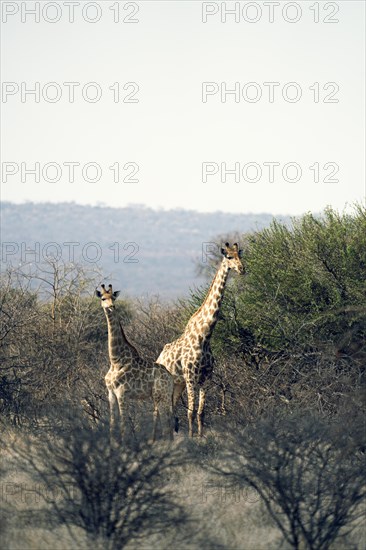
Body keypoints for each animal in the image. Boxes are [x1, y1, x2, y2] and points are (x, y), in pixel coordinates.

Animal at [96, 284, 173, 444]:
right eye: (103, 298)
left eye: (113, 297)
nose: (111, 306)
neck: (115, 360)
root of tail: (170, 377)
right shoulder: (110, 393)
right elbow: (112, 422)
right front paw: (112, 444)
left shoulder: (122, 393)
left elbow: (123, 421)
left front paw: (123, 443)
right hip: (162, 395)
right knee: (166, 418)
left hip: (160, 395)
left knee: (164, 420)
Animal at [157, 244, 243, 438]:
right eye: (229, 257)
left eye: (240, 255)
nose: (242, 269)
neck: (204, 337)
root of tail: (159, 357)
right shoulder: (191, 378)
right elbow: (190, 411)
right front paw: (191, 437)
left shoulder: (206, 378)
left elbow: (201, 412)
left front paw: (201, 436)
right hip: (166, 384)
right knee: (159, 410)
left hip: (177, 384)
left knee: (172, 408)